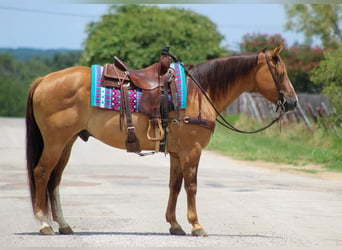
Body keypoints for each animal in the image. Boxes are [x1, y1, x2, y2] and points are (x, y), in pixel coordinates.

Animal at [25, 43, 296, 236]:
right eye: (280, 72)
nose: (292, 102)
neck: (199, 92)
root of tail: (44, 80)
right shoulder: (192, 151)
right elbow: (191, 186)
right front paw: (196, 226)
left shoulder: (177, 153)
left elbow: (174, 186)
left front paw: (175, 225)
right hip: (55, 143)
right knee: (41, 173)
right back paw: (43, 224)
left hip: (67, 143)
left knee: (54, 180)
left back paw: (63, 224)